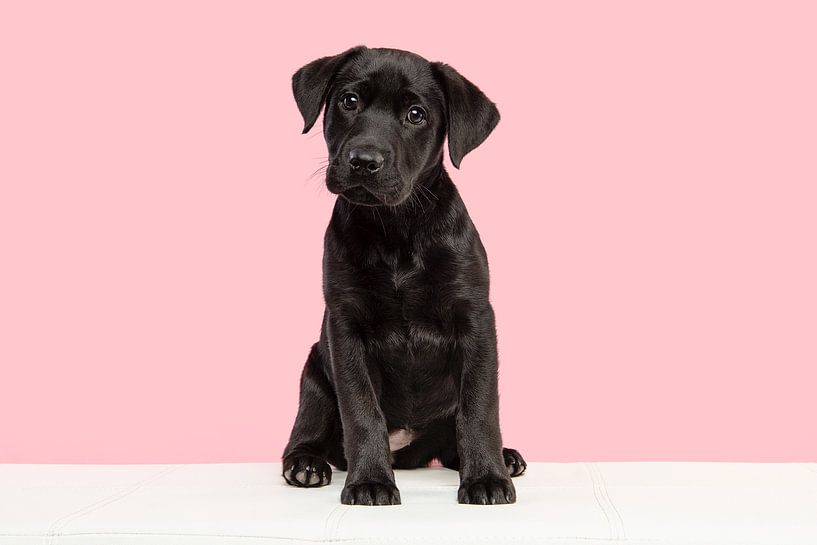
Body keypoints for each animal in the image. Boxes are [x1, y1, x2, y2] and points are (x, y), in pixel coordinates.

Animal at [282, 46, 524, 506]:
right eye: (349, 101)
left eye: (416, 114)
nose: (363, 161)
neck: (396, 229)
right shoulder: (345, 327)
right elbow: (361, 411)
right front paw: (371, 481)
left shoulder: (476, 320)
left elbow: (479, 407)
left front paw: (486, 476)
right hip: (315, 373)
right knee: (306, 432)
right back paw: (306, 463)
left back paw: (503, 458)